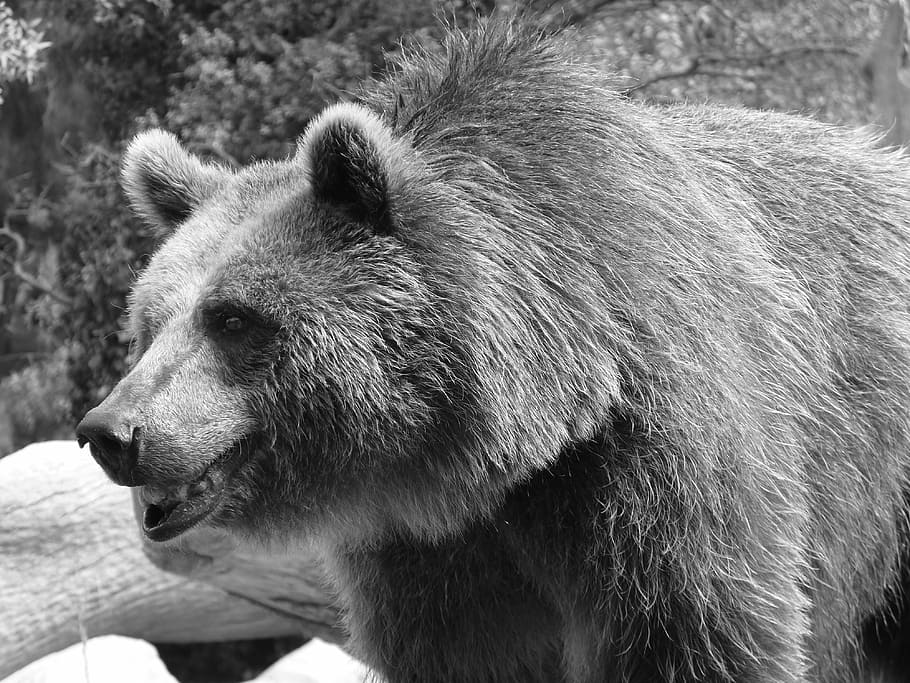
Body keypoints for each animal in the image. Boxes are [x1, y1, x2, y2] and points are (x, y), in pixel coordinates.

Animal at [75, 19, 910, 683]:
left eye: (234, 318)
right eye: (150, 321)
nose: (111, 431)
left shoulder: (662, 480)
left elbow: (702, 637)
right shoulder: (436, 561)